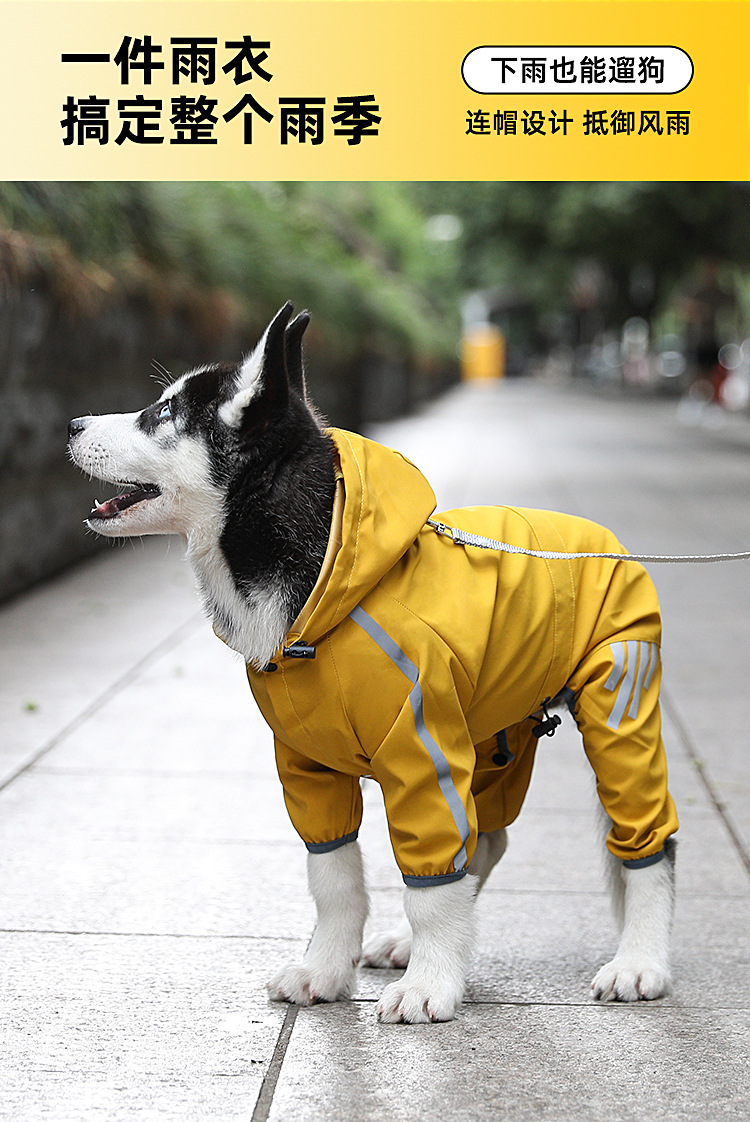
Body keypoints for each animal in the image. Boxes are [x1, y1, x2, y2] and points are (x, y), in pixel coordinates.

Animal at [70, 302, 678, 1023]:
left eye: (162, 413)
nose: (72, 424)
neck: (323, 578)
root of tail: (606, 541)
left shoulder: (422, 753)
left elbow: (430, 881)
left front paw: (431, 984)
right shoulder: (309, 767)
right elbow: (334, 877)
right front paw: (328, 970)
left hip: (618, 708)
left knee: (645, 841)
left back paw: (640, 961)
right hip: (493, 734)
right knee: (486, 839)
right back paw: (413, 943)